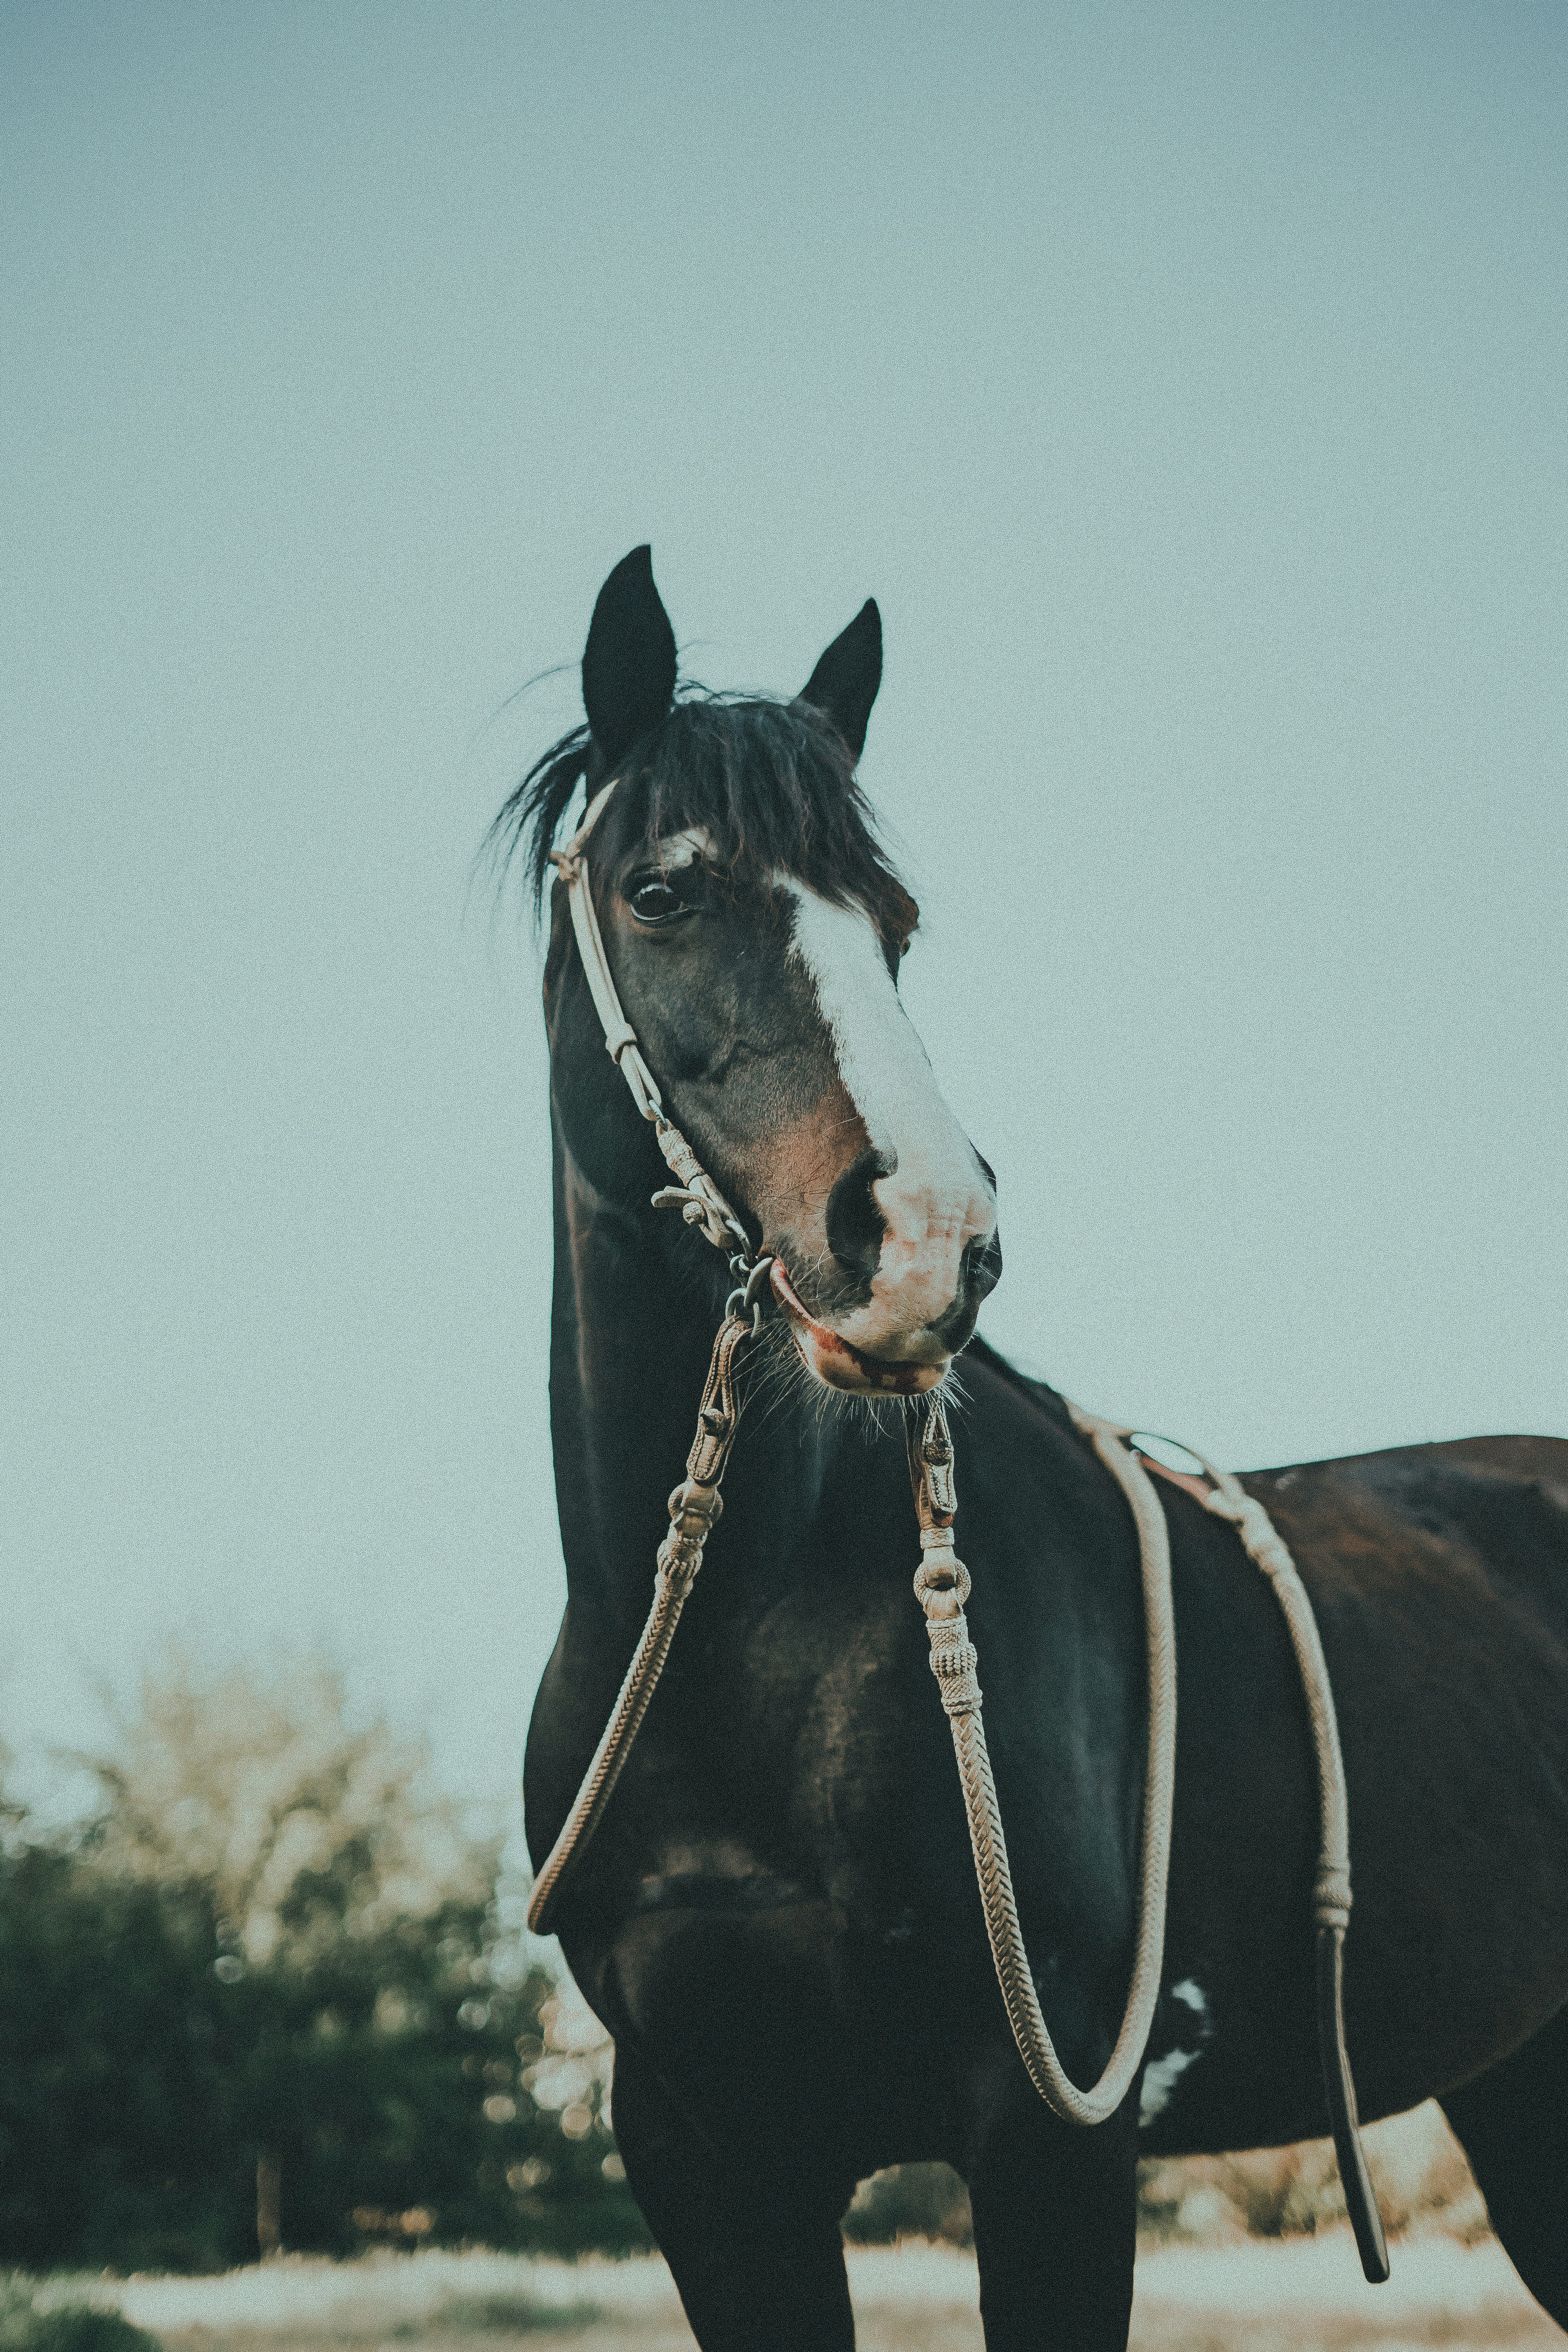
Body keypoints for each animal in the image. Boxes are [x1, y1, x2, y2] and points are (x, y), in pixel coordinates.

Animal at [505, 541, 1568, 2342]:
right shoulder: (706, 2156)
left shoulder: (1053, 2135)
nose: (930, 1237)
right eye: (661, 890)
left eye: (896, 926)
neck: (754, 1637)